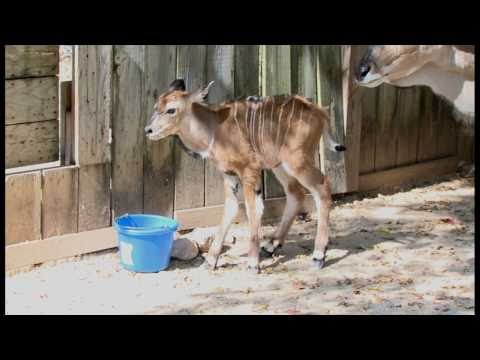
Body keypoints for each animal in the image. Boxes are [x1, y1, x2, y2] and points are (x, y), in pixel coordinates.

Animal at [144, 79, 346, 272]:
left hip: (298, 161)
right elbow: (231, 209)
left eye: (171, 110)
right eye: (155, 107)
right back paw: (271, 245)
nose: (148, 130)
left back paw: (318, 255)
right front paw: (211, 260)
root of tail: (320, 112)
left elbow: (253, 210)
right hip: (280, 165)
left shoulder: (249, 170)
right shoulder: (229, 174)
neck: (214, 129)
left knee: (322, 188)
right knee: (296, 193)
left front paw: (252, 263)